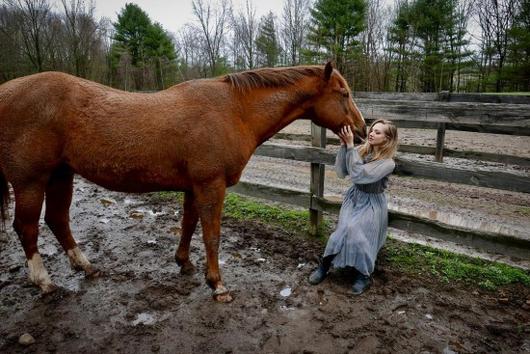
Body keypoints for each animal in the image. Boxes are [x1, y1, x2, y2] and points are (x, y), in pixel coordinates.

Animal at [0, 62, 364, 300]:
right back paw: (44, 282)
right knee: (27, 228)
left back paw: (86, 266)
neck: (232, 110)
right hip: (31, 181)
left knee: (57, 220)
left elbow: (188, 225)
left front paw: (185, 263)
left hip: (61, 175)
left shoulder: (193, 186)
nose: (361, 130)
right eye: (343, 93)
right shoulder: (211, 185)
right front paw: (217, 284)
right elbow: (212, 235)